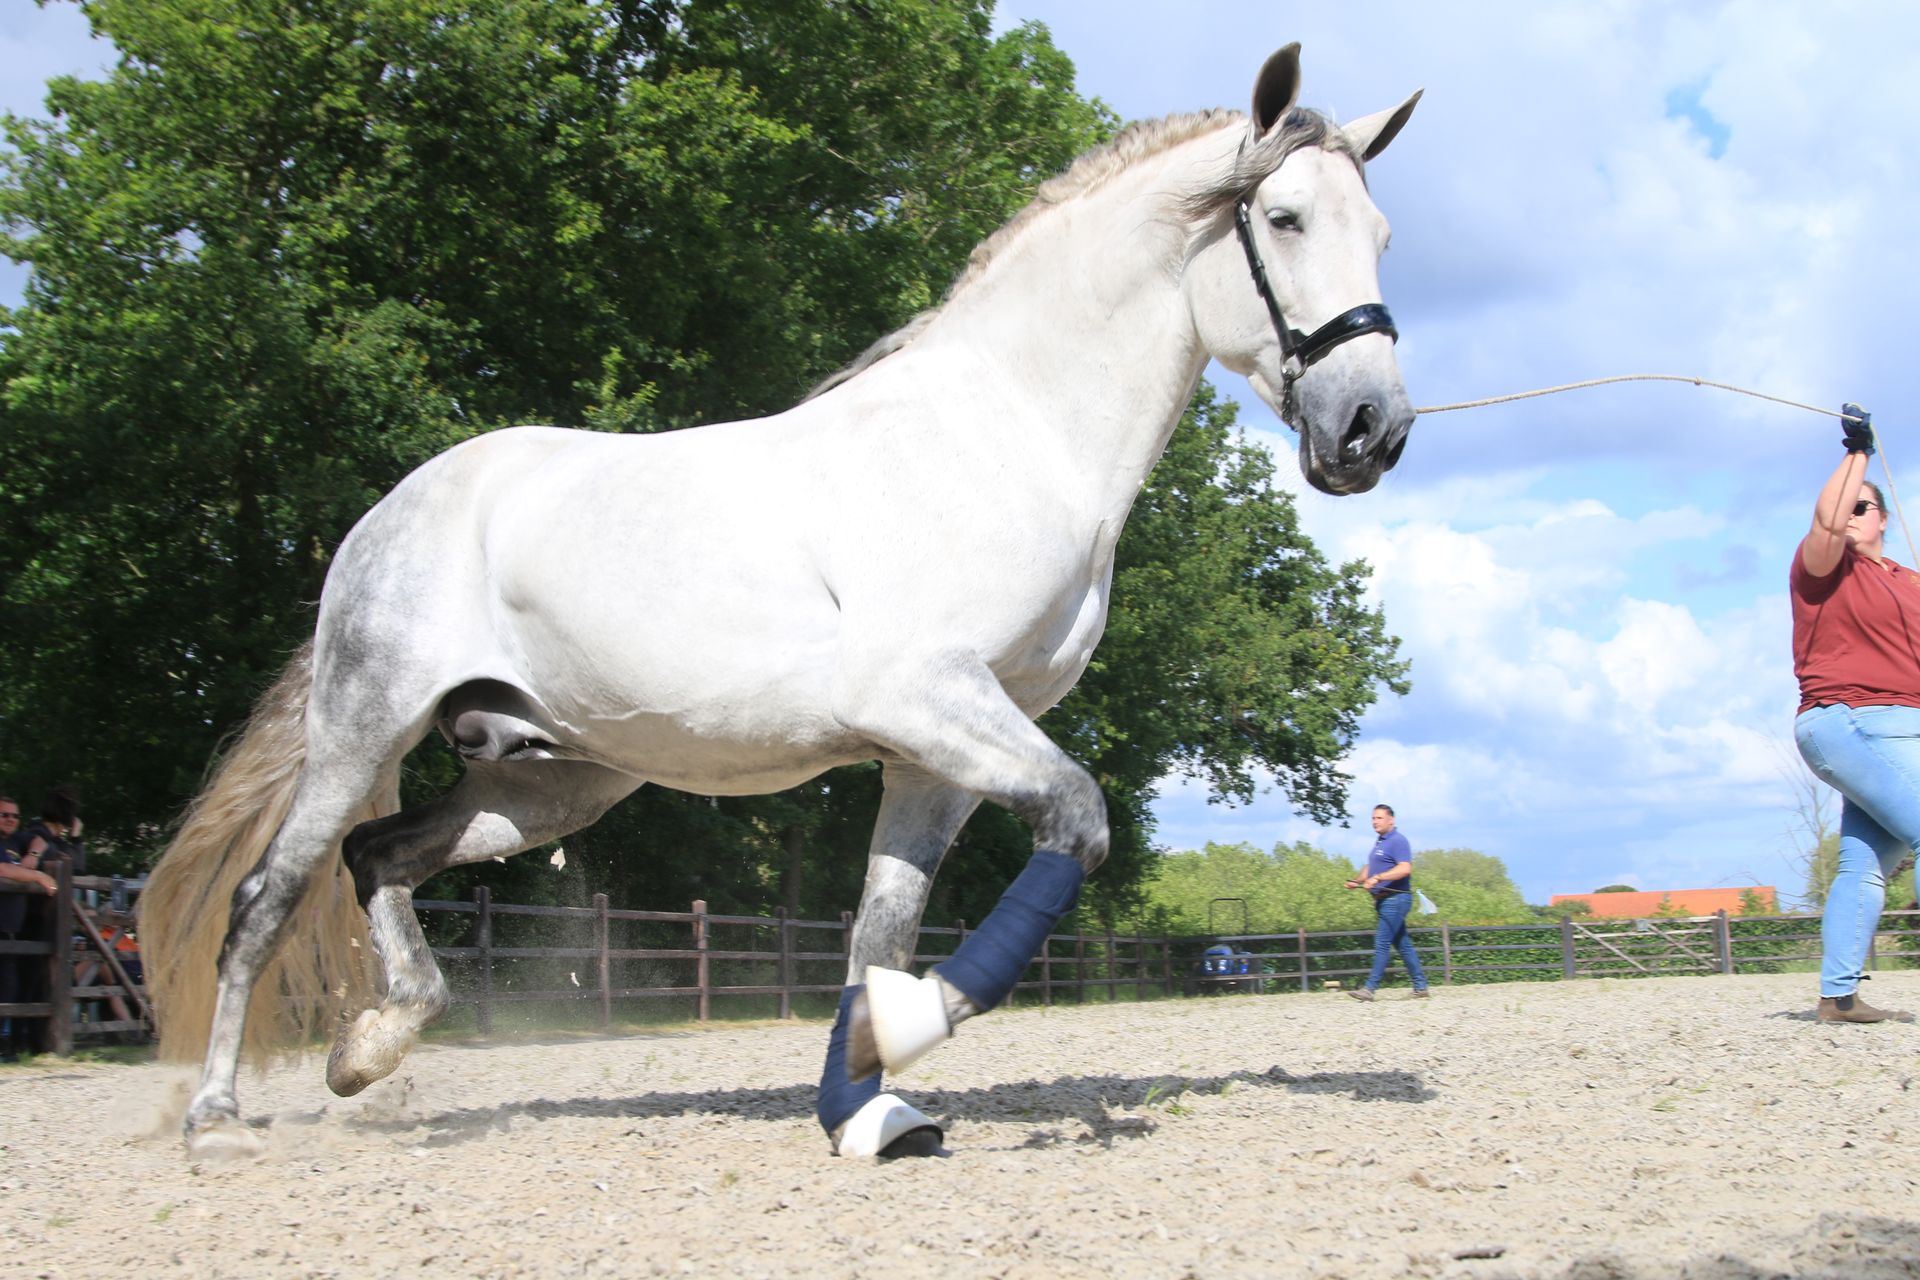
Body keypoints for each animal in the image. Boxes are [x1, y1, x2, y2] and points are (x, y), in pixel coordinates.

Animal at [140, 43, 1420, 1161]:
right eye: (1287, 220)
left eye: (1383, 234)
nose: (1373, 430)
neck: (1010, 431)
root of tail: (392, 511)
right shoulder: (928, 699)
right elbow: (1075, 822)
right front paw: (900, 1041)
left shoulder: (935, 756)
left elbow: (877, 933)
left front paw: (865, 1106)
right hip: (366, 725)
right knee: (268, 893)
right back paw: (216, 1119)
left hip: (551, 776)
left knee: (380, 854)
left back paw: (370, 1046)